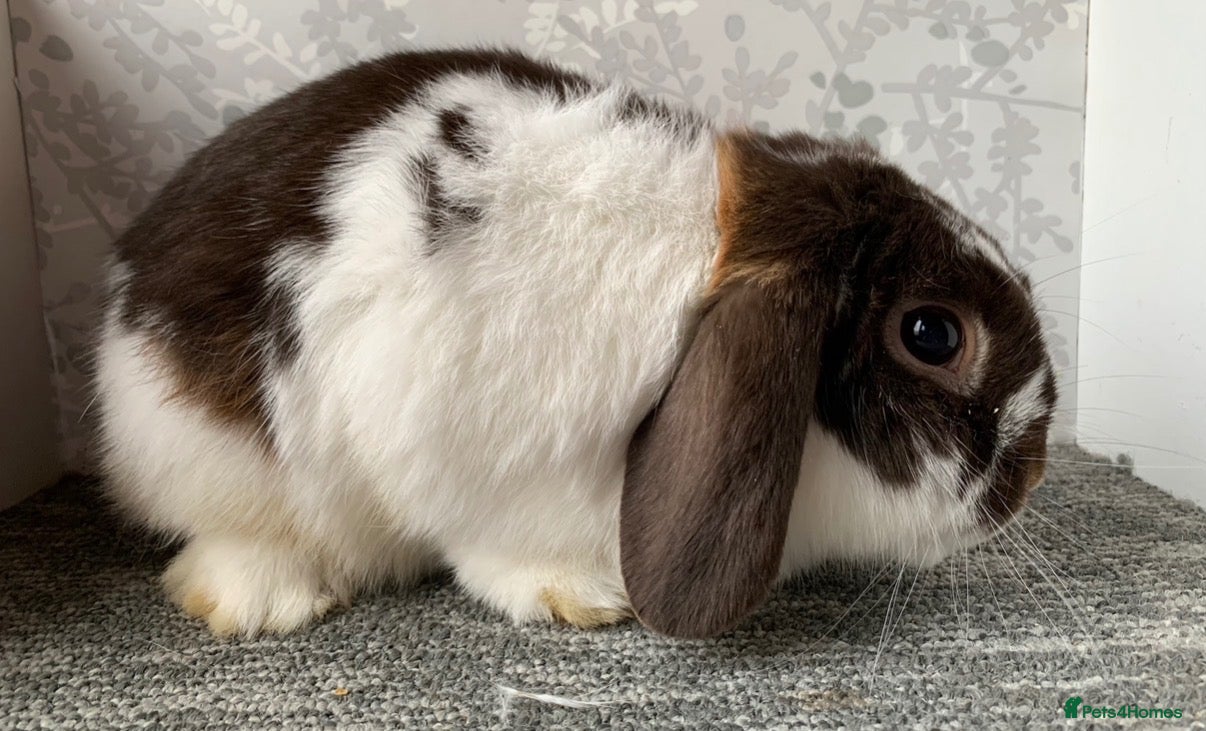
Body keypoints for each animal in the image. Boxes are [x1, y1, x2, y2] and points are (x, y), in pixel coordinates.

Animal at [93, 48, 1057, 639]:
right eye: (932, 333)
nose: (1033, 473)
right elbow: (499, 545)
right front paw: (587, 596)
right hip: (215, 460)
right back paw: (267, 601)